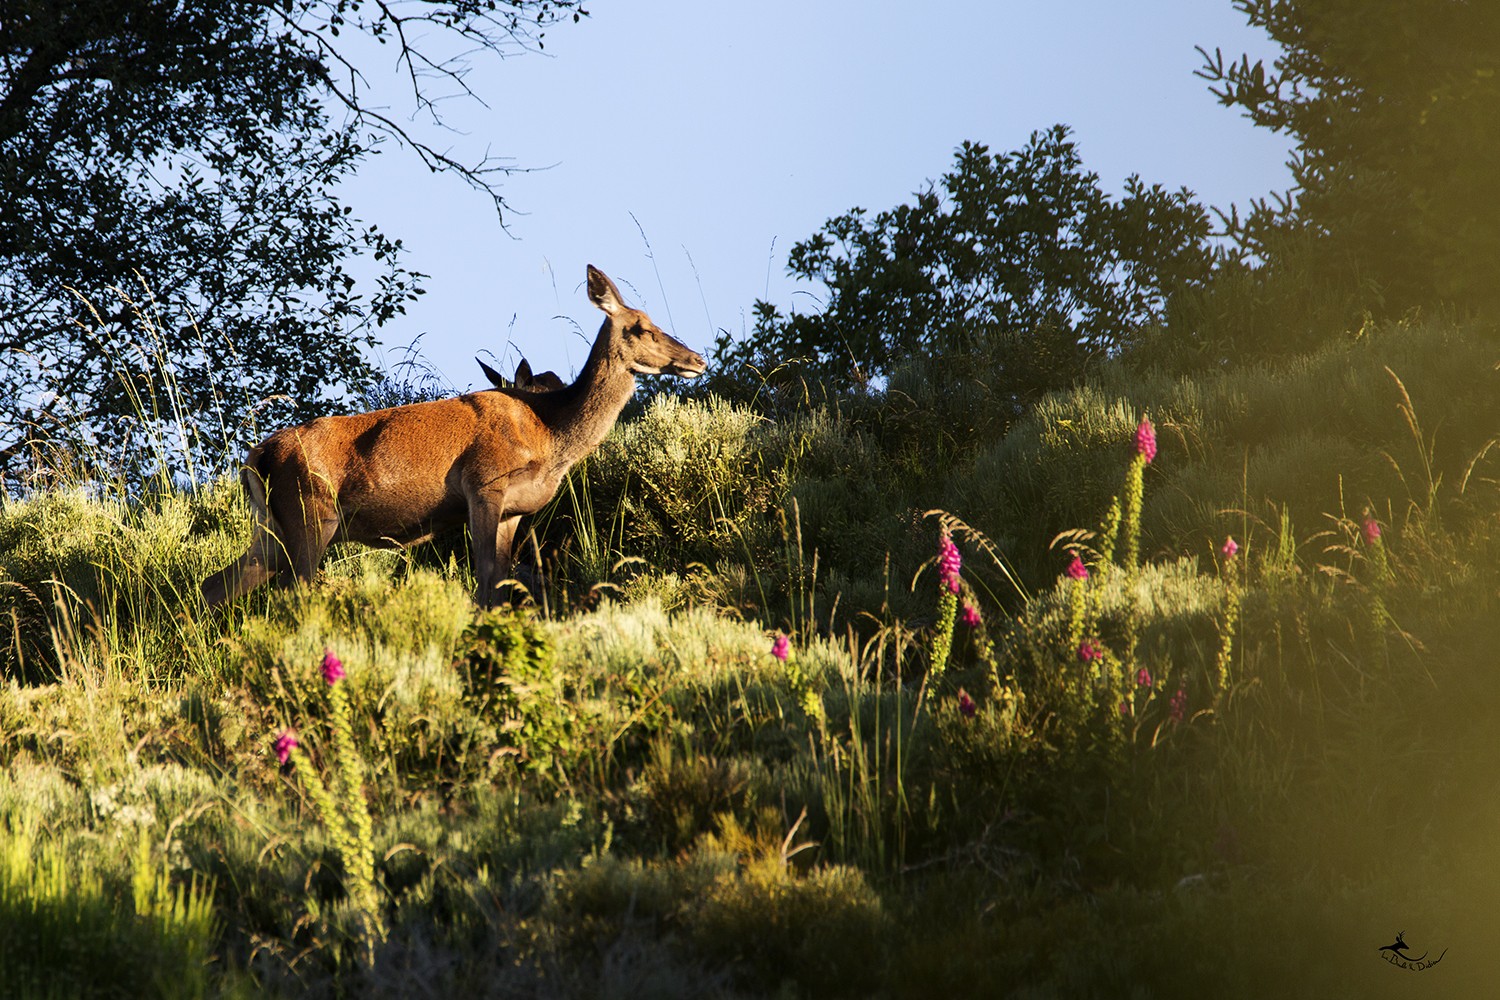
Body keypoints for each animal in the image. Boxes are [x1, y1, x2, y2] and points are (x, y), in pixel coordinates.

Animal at [201, 265, 708, 605]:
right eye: (641, 327)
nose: (696, 359)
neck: (549, 436)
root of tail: (254, 457)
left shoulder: (512, 511)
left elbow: (501, 581)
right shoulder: (483, 483)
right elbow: (485, 582)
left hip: (273, 526)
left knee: (217, 583)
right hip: (310, 513)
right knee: (294, 591)